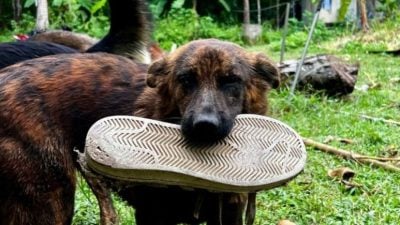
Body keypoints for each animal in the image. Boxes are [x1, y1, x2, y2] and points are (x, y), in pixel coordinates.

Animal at [0, 38, 280, 225]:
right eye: (185, 80)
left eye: (232, 80)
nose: (204, 126)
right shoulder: (151, 214)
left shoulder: (229, 214)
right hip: (50, 201)